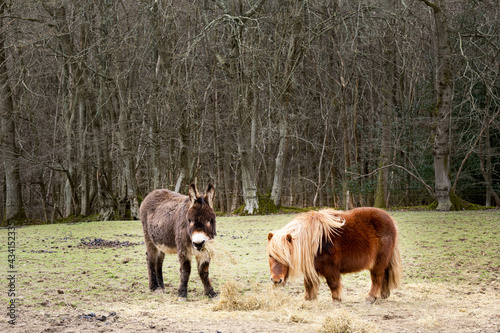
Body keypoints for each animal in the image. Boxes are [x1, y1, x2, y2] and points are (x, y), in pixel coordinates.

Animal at [266, 209, 402, 302]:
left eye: (286, 255)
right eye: (270, 255)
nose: (276, 280)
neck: (314, 242)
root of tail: (390, 220)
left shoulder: (330, 268)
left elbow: (333, 283)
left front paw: (337, 299)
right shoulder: (311, 269)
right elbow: (308, 284)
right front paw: (309, 299)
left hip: (378, 263)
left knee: (377, 278)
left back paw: (371, 297)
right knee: (384, 277)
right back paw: (383, 295)